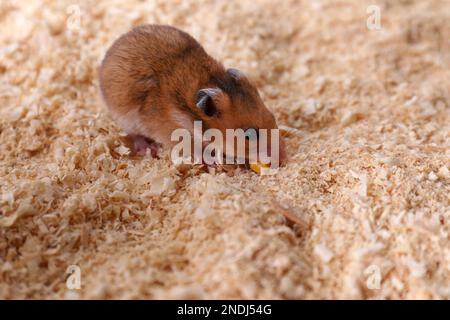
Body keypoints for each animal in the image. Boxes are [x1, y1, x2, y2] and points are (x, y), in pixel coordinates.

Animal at [100, 24, 286, 165]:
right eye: (250, 135)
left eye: (272, 116)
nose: (283, 157)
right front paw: (213, 163)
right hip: (124, 117)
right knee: (134, 135)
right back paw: (148, 148)